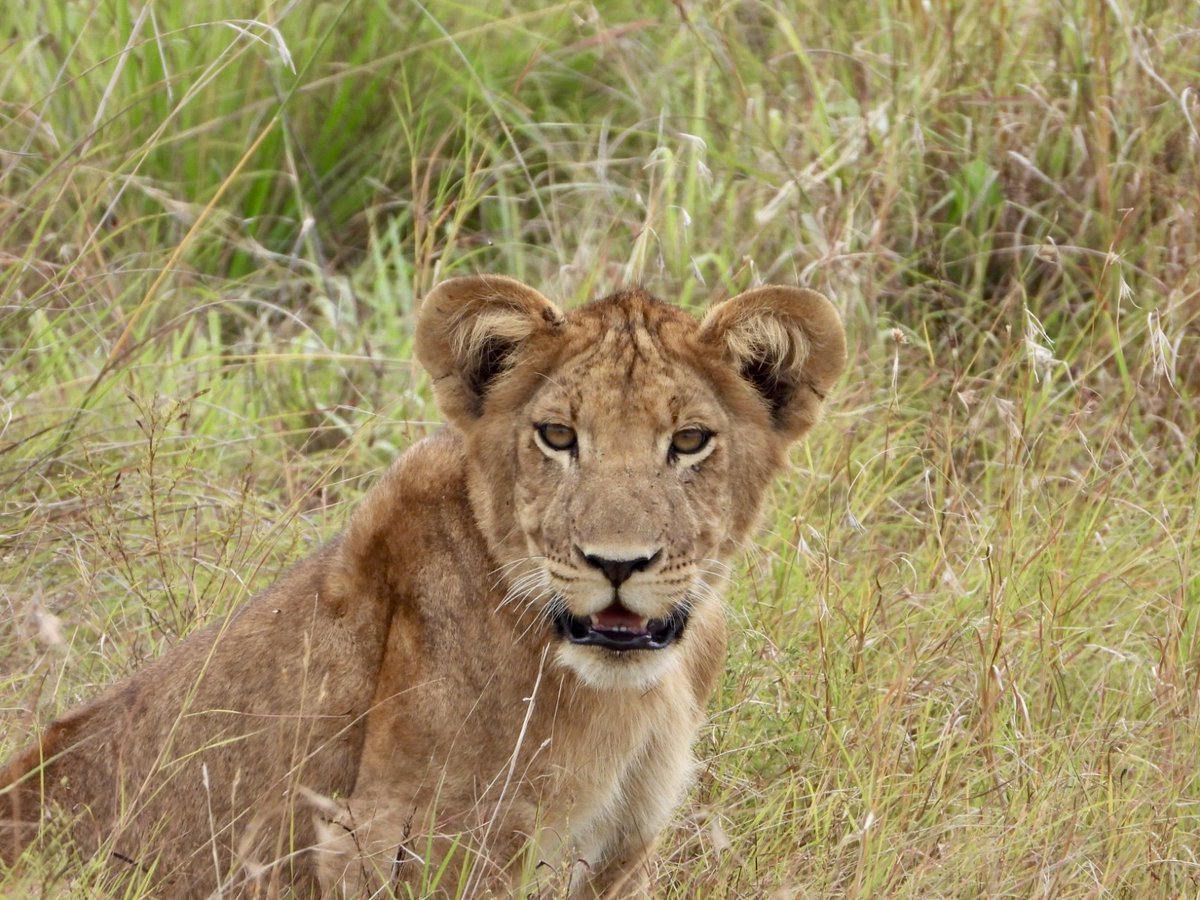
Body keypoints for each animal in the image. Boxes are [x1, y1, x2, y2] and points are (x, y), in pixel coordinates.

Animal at [0, 275, 846, 897]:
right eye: (558, 436)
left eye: (691, 441)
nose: (617, 564)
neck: (622, 694)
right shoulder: (396, 839)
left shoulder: (622, 854)